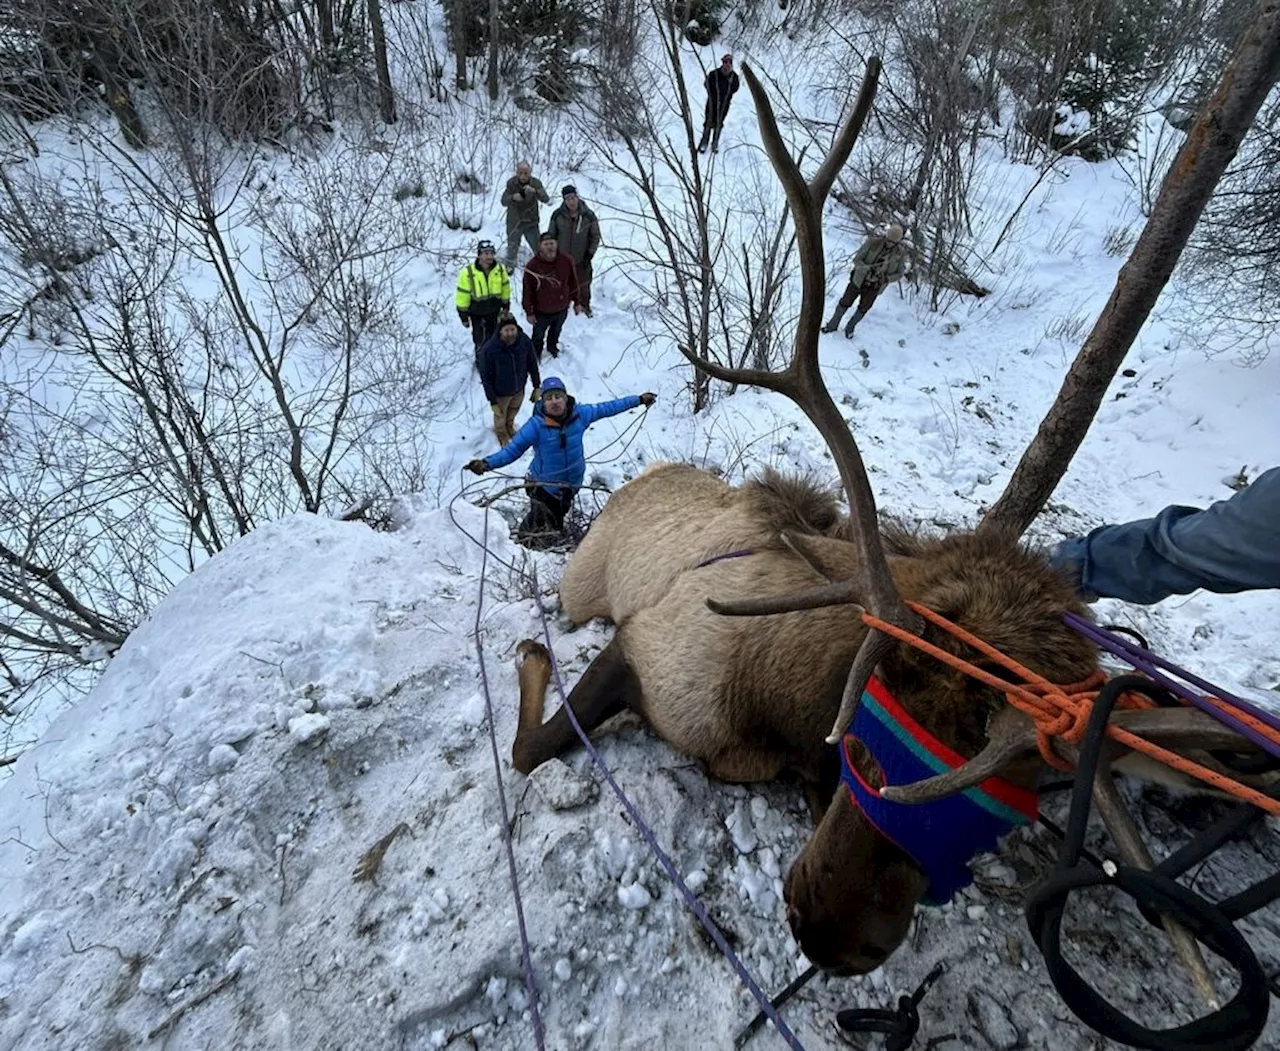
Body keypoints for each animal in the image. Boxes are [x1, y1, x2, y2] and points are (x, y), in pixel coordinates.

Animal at [512, 59, 1269, 978]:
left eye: (1014, 800)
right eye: (866, 731)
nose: (829, 933)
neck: (779, 697)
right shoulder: (650, 649)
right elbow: (530, 746)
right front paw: (530, 663)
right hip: (582, 584)